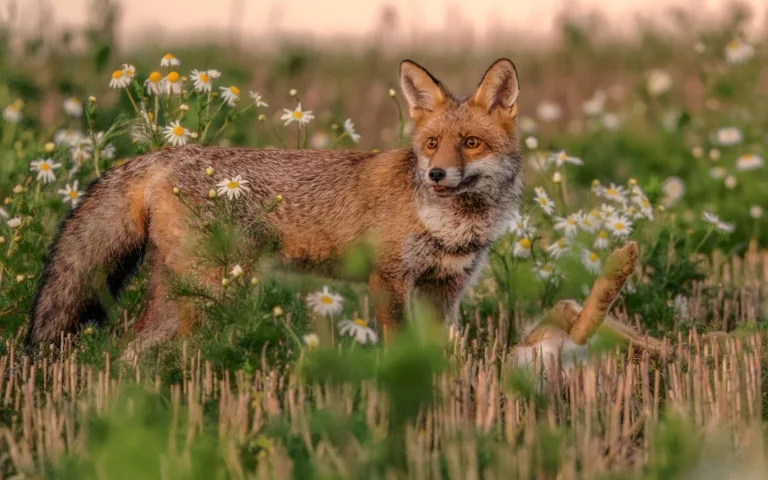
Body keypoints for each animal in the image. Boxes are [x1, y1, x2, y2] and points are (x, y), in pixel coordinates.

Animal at [26, 58, 523, 353]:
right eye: (432, 144)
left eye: (471, 143)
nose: (436, 174)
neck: (451, 227)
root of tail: (164, 155)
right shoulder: (389, 280)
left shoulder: (446, 288)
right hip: (209, 289)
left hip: (182, 291)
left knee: (129, 348)